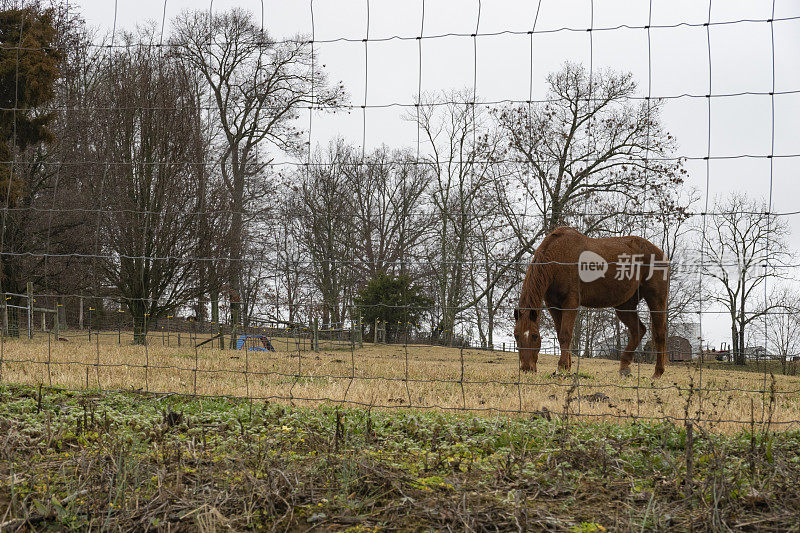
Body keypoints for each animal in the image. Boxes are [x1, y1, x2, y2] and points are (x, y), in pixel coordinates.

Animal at [512, 224, 668, 378]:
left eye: (534, 336)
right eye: (516, 336)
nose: (526, 369)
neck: (558, 257)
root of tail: (659, 253)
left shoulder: (570, 303)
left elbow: (565, 335)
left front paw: (561, 368)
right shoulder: (553, 306)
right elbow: (560, 334)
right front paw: (567, 367)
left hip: (656, 299)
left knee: (659, 334)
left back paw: (657, 372)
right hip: (625, 306)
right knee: (638, 330)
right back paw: (624, 367)